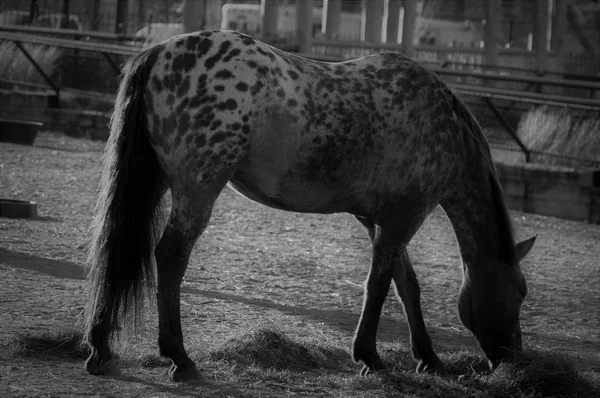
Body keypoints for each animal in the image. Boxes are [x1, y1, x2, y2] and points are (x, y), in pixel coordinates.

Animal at [82, 29, 536, 380]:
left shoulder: (380, 221)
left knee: (117, 248)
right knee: (171, 256)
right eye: (521, 291)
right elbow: (380, 285)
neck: (441, 125)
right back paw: (179, 357)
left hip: (156, 182)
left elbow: (406, 286)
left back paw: (100, 349)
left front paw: (428, 358)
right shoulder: (403, 219)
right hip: (198, 190)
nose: (512, 360)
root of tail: (160, 52)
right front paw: (370, 357)